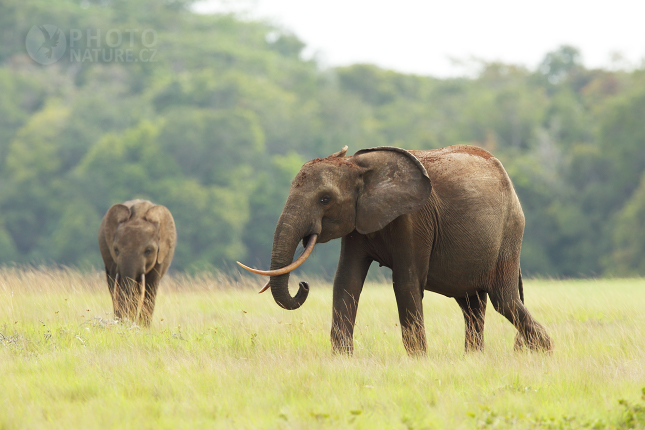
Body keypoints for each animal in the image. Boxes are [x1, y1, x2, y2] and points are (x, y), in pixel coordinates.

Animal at [239, 146, 552, 354]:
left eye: (325, 199)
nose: (303, 285)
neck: (359, 167)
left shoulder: (412, 220)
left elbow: (405, 283)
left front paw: (418, 360)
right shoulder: (358, 223)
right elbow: (346, 281)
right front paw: (342, 358)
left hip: (509, 233)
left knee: (504, 300)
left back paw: (543, 350)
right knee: (472, 304)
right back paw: (475, 357)